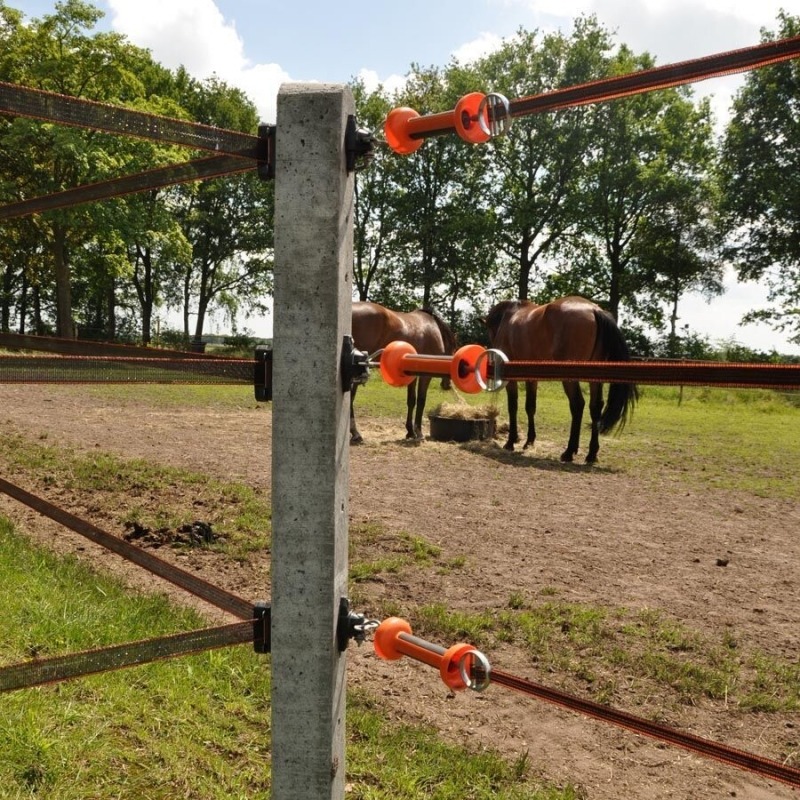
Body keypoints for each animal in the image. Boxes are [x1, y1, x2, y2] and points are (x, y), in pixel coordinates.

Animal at [350, 302, 456, 444]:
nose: (447, 385)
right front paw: (419, 432)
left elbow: (411, 401)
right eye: (454, 352)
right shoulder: (425, 375)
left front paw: (410, 432)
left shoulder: (412, 374)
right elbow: (421, 401)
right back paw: (356, 434)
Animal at [488, 296, 636, 462]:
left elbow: (513, 407)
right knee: (595, 407)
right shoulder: (532, 378)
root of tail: (593, 309)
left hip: (570, 379)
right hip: (594, 379)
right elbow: (530, 407)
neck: (509, 317)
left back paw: (569, 451)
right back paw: (591, 454)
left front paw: (511, 441)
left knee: (577, 405)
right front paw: (529, 441)